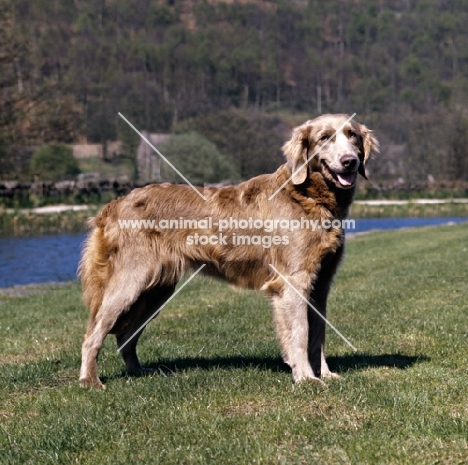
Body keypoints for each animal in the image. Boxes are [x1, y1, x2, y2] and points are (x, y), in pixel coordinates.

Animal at [77, 113, 376, 388]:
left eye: (352, 135)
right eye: (324, 137)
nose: (350, 161)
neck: (307, 196)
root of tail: (114, 204)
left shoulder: (321, 282)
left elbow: (318, 333)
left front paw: (324, 373)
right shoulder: (293, 281)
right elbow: (300, 333)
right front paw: (306, 378)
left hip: (156, 290)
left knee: (126, 335)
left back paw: (138, 372)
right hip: (130, 281)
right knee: (93, 334)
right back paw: (90, 380)